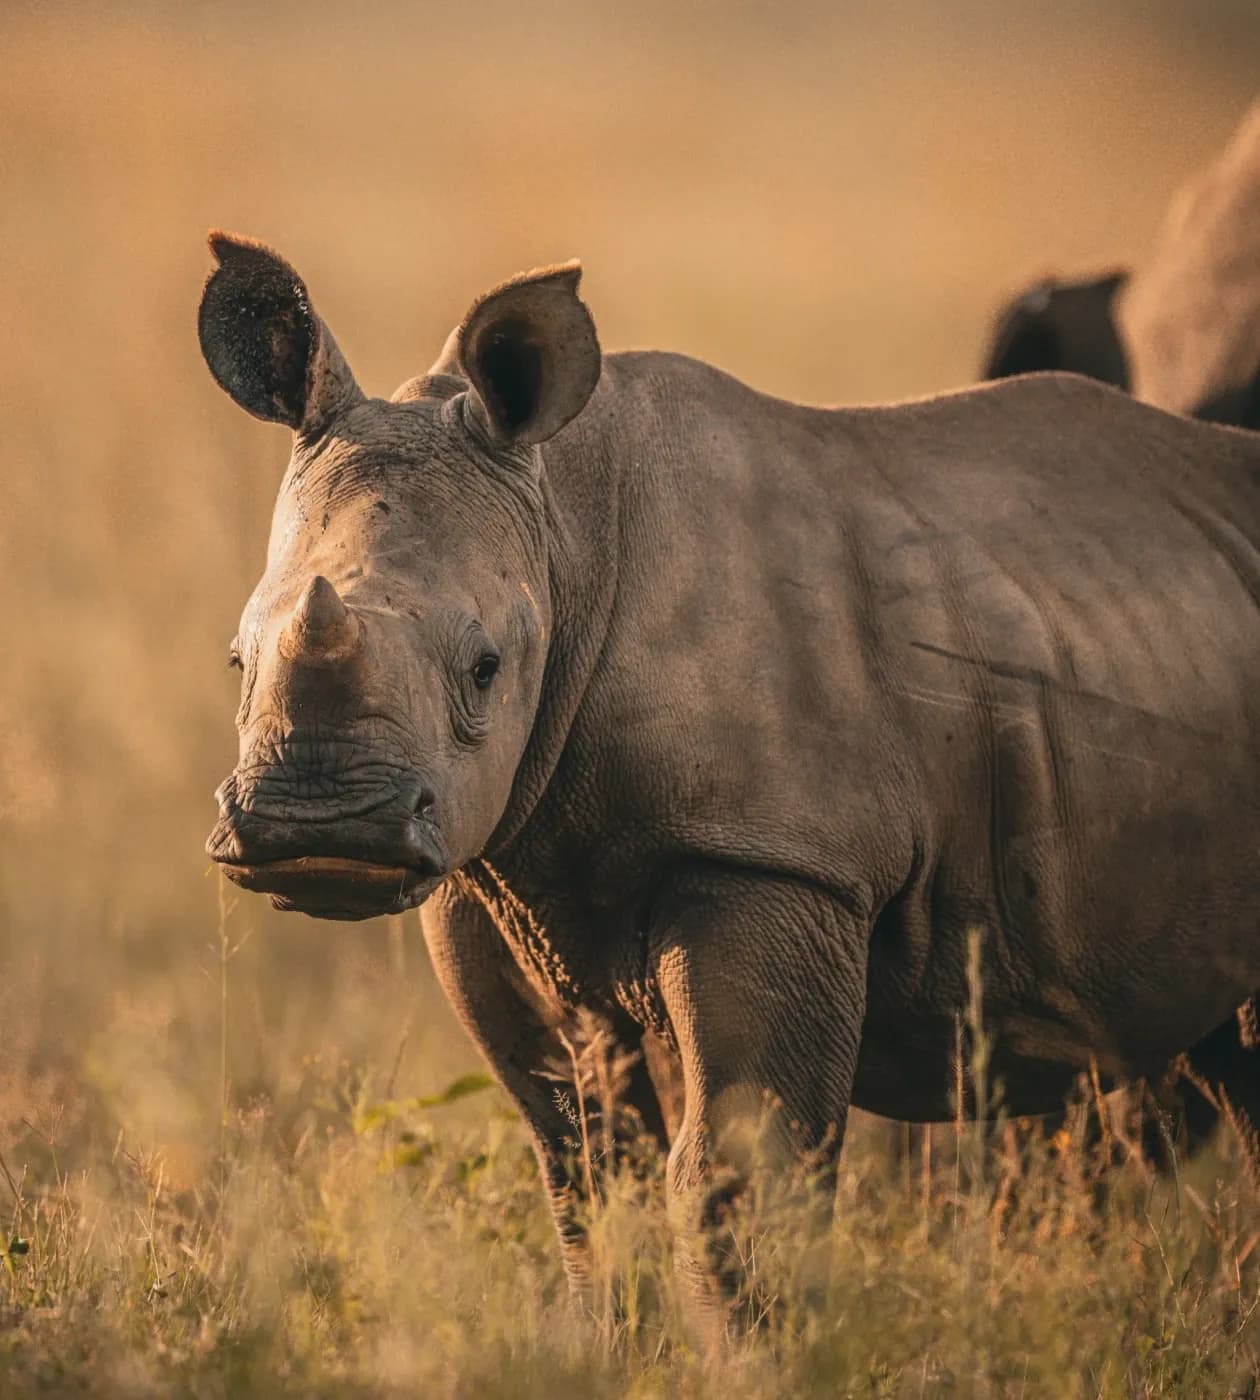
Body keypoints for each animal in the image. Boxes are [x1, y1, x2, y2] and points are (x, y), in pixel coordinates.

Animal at [201, 231, 1260, 1333]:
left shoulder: (775, 857)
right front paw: (601, 1345)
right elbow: (581, 1164)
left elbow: (733, 1171)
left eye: (487, 667)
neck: (564, 532)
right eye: (235, 659)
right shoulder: (492, 869)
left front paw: (753, 1354)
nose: (318, 827)